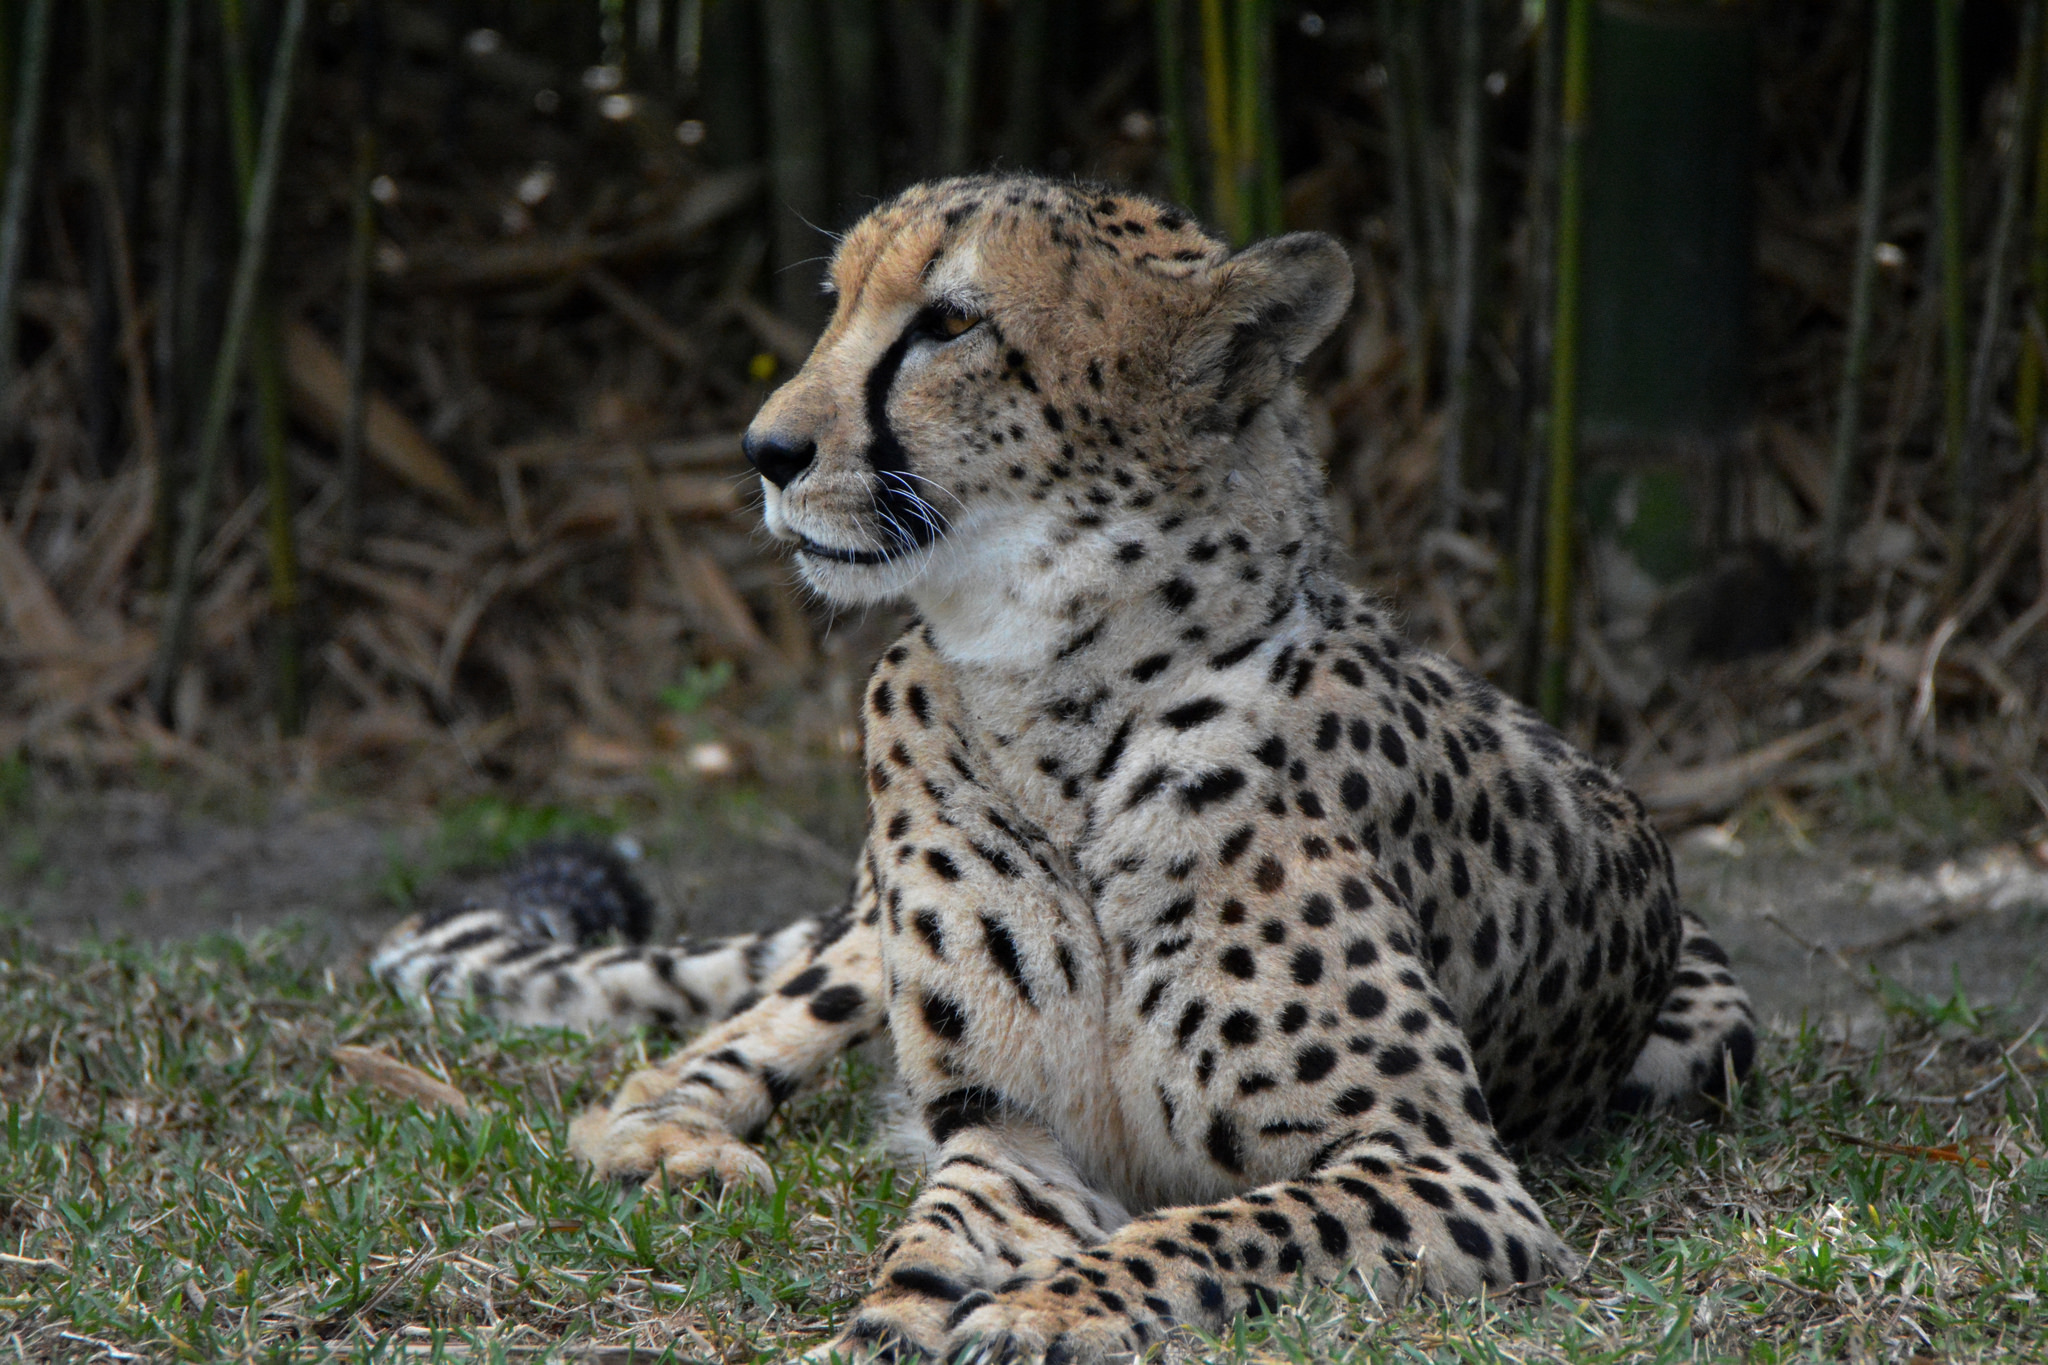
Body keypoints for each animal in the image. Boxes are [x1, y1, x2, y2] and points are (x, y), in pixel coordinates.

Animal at [376, 175, 1753, 1365]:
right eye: (835, 299)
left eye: (947, 323)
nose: (764, 448)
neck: (1054, 694)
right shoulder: (1014, 1138)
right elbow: (926, 1246)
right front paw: (896, 1320)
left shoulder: (1441, 1164)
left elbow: (1219, 1225)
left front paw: (1049, 1310)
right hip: (859, 939)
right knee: (692, 1053)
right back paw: (668, 1142)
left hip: (1700, 1047)